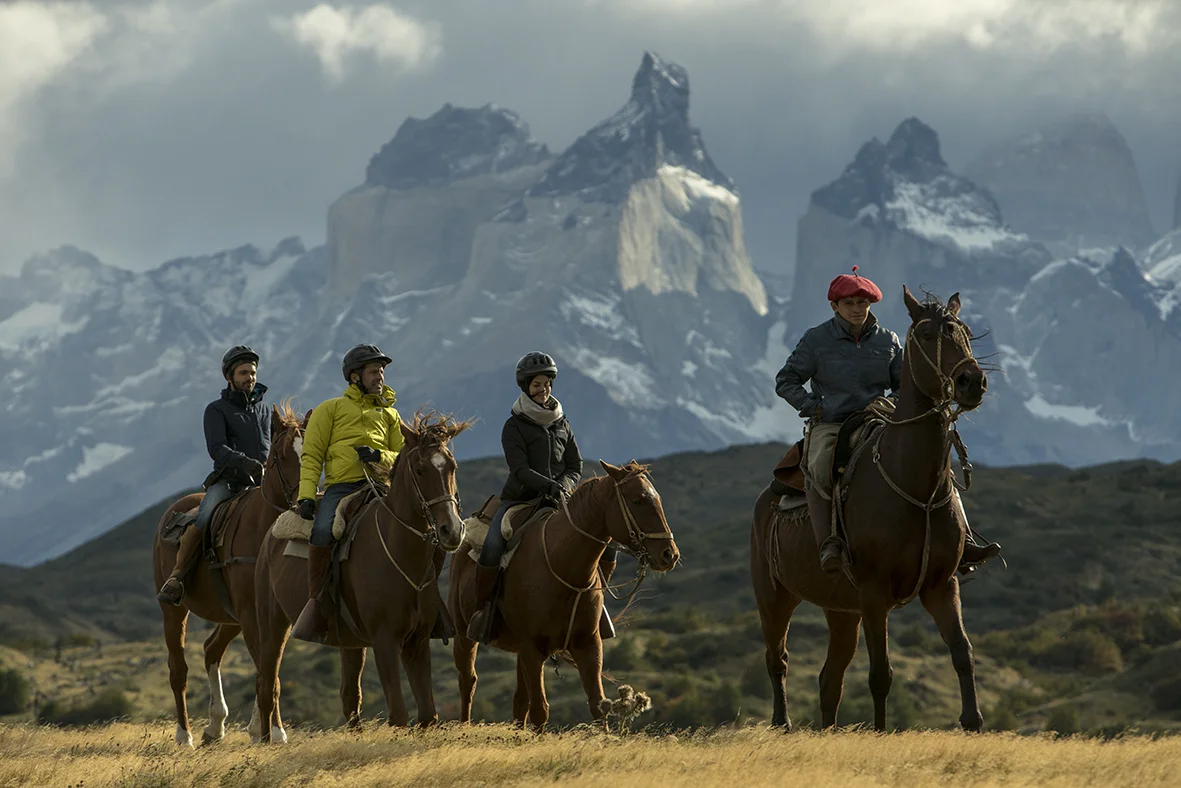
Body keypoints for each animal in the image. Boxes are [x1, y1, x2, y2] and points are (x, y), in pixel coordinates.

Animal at [151, 404, 309, 751]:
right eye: (281, 456)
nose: (308, 502)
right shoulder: (251, 615)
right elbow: (266, 674)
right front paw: (273, 731)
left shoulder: (271, 617)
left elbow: (268, 672)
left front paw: (264, 729)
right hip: (174, 610)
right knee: (178, 670)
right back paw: (185, 735)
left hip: (229, 617)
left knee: (211, 649)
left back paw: (214, 725)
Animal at [252, 413, 470, 741]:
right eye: (420, 469)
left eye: (452, 466)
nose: (451, 530)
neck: (399, 551)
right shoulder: (384, 640)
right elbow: (399, 716)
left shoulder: (417, 642)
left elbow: (427, 716)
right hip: (272, 627)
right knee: (268, 687)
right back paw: (269, 740)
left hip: (350, 643)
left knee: (349, 697)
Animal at [446, 458, 680, 737]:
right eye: (637, 500)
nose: (669, 554)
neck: (563, 564)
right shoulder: (532, 649)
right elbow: (540, 710)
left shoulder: (588, 644)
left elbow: (598, 705)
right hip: (465, 635)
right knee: (468, 681)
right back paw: (463, 727)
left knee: (518, 700)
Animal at [751, 287, 992, 737]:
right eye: (927, 334)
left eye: (966, 332)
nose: (973, 381)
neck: (912, 483)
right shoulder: (875, 592)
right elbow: (881, 673)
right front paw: (881, 733)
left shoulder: (941, 585)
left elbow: (962, 653)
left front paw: (973, 722)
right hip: (774, 597)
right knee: (778, 662)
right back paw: (782, 724)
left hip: (841, 611)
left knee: (829, 679)